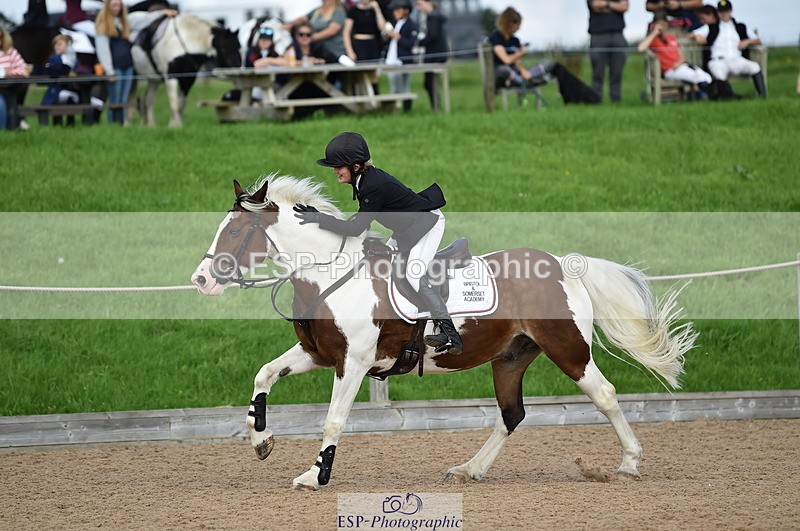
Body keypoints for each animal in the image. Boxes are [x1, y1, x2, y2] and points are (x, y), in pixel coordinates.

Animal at [191, 175, 698, 490]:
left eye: (234, 231)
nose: (201, 279)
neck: (328, 272)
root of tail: (563, 265)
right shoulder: (318, 354)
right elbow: (263, 375)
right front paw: (261, 441)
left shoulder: (353, 363)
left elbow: (333, 419)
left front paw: (314, 477)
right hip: (511, 357)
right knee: (511, 414)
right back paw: (469, 470)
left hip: (567, 349)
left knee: (605, 395)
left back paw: (629, 463)